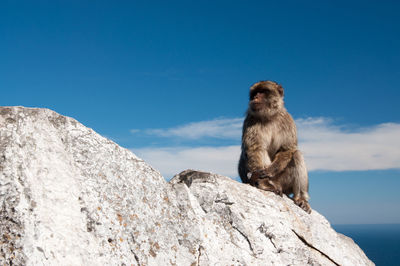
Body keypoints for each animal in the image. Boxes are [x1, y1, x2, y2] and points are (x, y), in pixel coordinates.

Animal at [238, 80, 312, 213]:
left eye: (263, 91)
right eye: (255, 93)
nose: (255, 97)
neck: (269, 116)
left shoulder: (287, 120)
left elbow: (287, 149)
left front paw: (270, 170)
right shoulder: (251, 120)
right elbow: (255, 148)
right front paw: (261, 179)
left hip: (284, 183)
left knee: (297, 154)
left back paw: (301, 198)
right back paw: (264, 183)